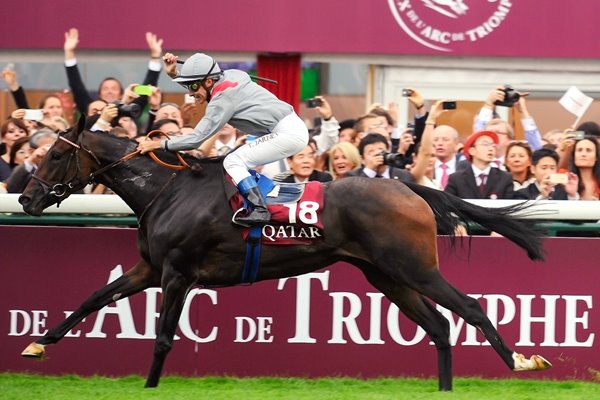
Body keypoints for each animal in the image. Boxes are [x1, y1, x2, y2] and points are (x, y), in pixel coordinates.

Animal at [17, 118, 552, 388]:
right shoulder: (150, 267)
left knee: (470, 307)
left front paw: (149, 388)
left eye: (57, 154)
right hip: (386, 275)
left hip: (413, 267)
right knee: (440, 326)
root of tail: (410, 189)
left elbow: (164, 338)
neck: (167, 191)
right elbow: (92, 298)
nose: (25, 198)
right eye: (42, 152)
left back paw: (522, 362)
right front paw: (37, 344)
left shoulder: (177, 273)